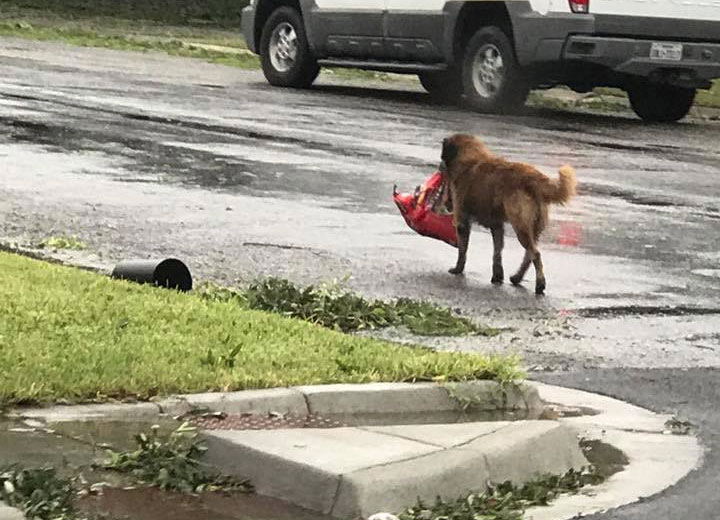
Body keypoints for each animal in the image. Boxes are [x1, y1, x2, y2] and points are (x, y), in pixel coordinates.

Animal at [436, 132, 576, 294]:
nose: (439, 166)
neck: (470, 157)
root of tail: (534, 178)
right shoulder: (497, 226)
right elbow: (497, 252)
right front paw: (497, 276)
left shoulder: (462, 222)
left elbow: (463, 250)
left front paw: (458, 269)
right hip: (533, 228)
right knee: (529, 254)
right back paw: (517, 277)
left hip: (521, 226)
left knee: (535, 253)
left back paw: (539, 284)